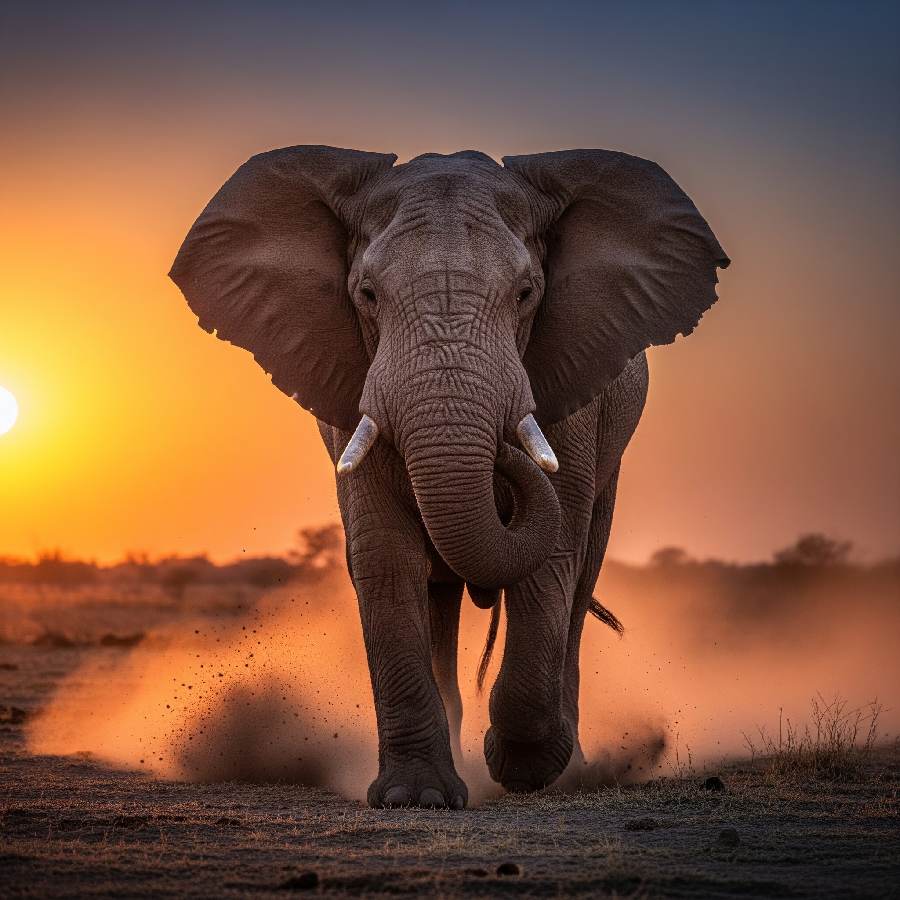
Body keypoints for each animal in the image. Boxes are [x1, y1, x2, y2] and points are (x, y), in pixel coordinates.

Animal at [170, 146, 728, 809]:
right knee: (439, 596)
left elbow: (552, 559)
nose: (502, 460)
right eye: (367, 294)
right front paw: (416, 798)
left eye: (526, 293)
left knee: (580, 574)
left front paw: (520, 768)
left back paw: (569, 769)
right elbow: (385, 557)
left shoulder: (573, 387)